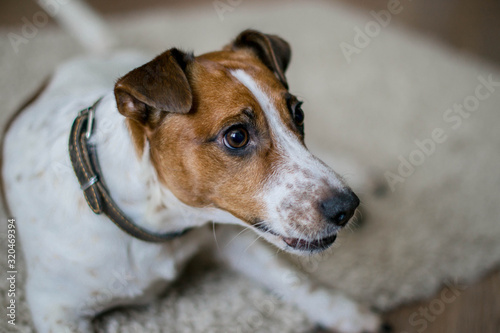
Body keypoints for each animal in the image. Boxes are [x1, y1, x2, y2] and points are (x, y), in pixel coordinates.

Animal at [1, 29, 380, 330]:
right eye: (237, 136)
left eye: (298, 113)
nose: (348, 207)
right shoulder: (54, 307)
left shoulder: (228, 238)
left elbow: (297, 281)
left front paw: (345, 312)